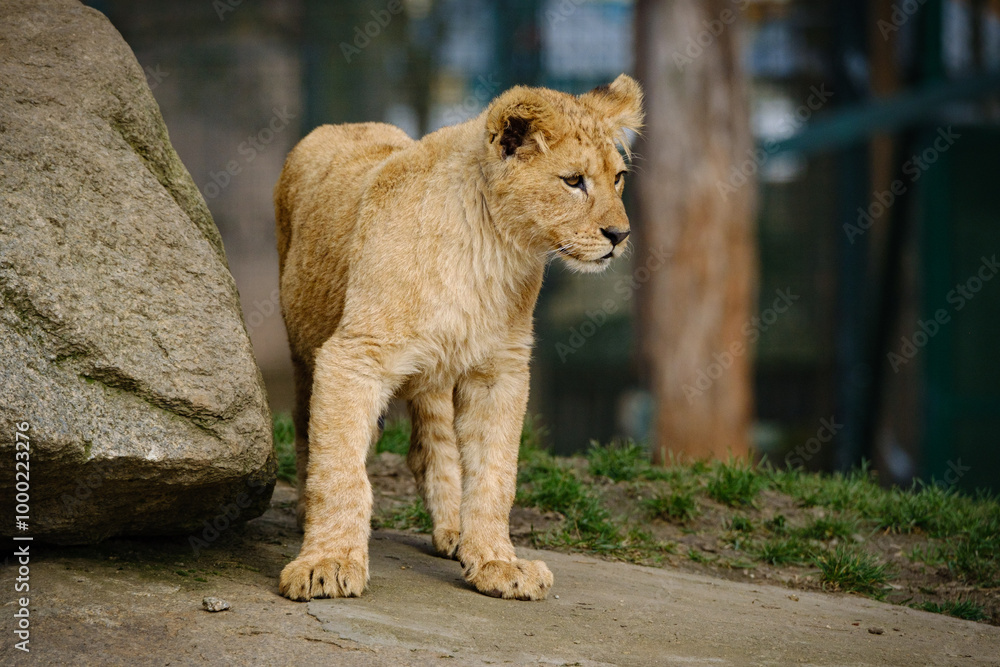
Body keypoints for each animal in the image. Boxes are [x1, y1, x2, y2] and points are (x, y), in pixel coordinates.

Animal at [274, 74, 643, 601]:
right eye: (573, 181)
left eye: (618, 178)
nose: (619, 235)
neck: (488, 249)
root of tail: (343, 124)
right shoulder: (353, 355)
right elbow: (340, 469)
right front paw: (327, 562)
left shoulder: (499, 370)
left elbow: (494, 474)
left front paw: (495, 562)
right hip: (304, 346)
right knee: (308, 430)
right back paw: (308, 513)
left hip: (438, 371)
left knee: (434, 448)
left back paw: (453, 532)